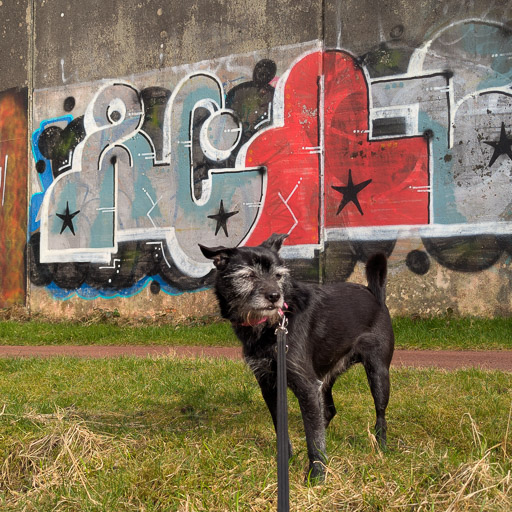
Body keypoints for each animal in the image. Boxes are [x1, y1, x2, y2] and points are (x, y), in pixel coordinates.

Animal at [198, 234, 394, 482]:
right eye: (248, 275)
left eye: (278, 276)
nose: (275, 296)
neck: (270, 326)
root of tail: (374, 293)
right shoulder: (269, 384)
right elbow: (282, 425)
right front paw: (287, 458)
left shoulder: (306, 385)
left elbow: (314, 438)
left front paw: (317, 476)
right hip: (325, 377)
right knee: (327, 411)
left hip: (378, 372)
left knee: (380, 415)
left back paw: (381, 446)